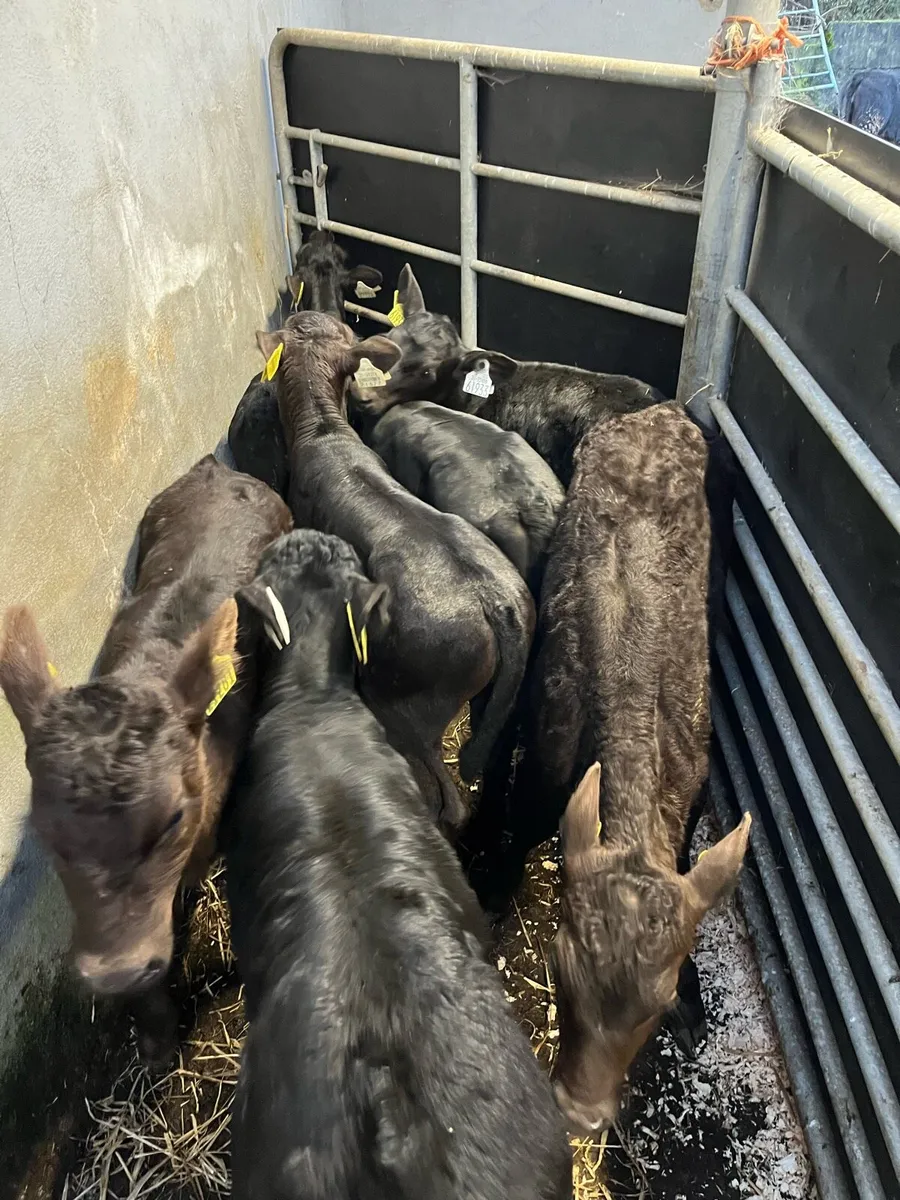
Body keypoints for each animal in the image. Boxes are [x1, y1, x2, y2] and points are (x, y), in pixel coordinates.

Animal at [489, 403, 750, 1131]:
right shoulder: (541, 775)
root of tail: (660, 412)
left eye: (655, 1006)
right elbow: (513, 837)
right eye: (558, 964)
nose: (580, 1113)